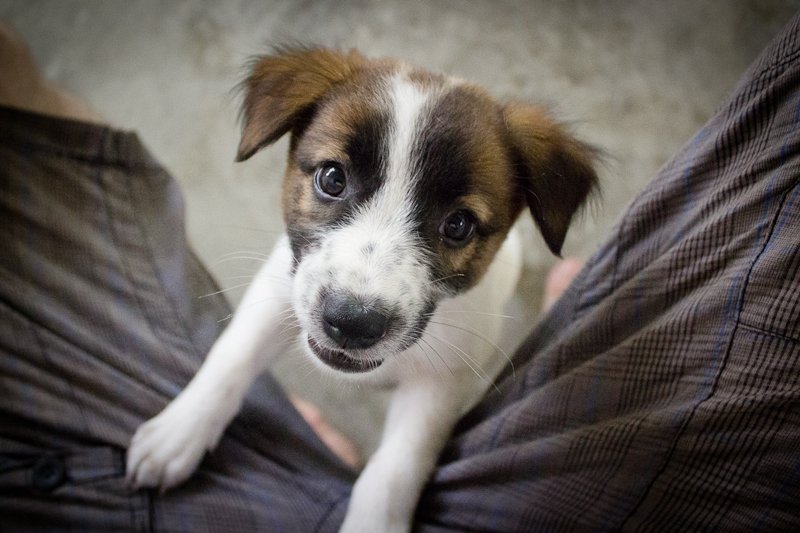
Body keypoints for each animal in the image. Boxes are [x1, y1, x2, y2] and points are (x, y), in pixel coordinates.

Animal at [126, 46, 592, 532]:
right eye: (332, 178)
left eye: (459, 225)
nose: (352, 324)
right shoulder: (279, 290)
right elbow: (231, 358)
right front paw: (180, 431)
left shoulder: (440, 379)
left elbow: (394, 468)